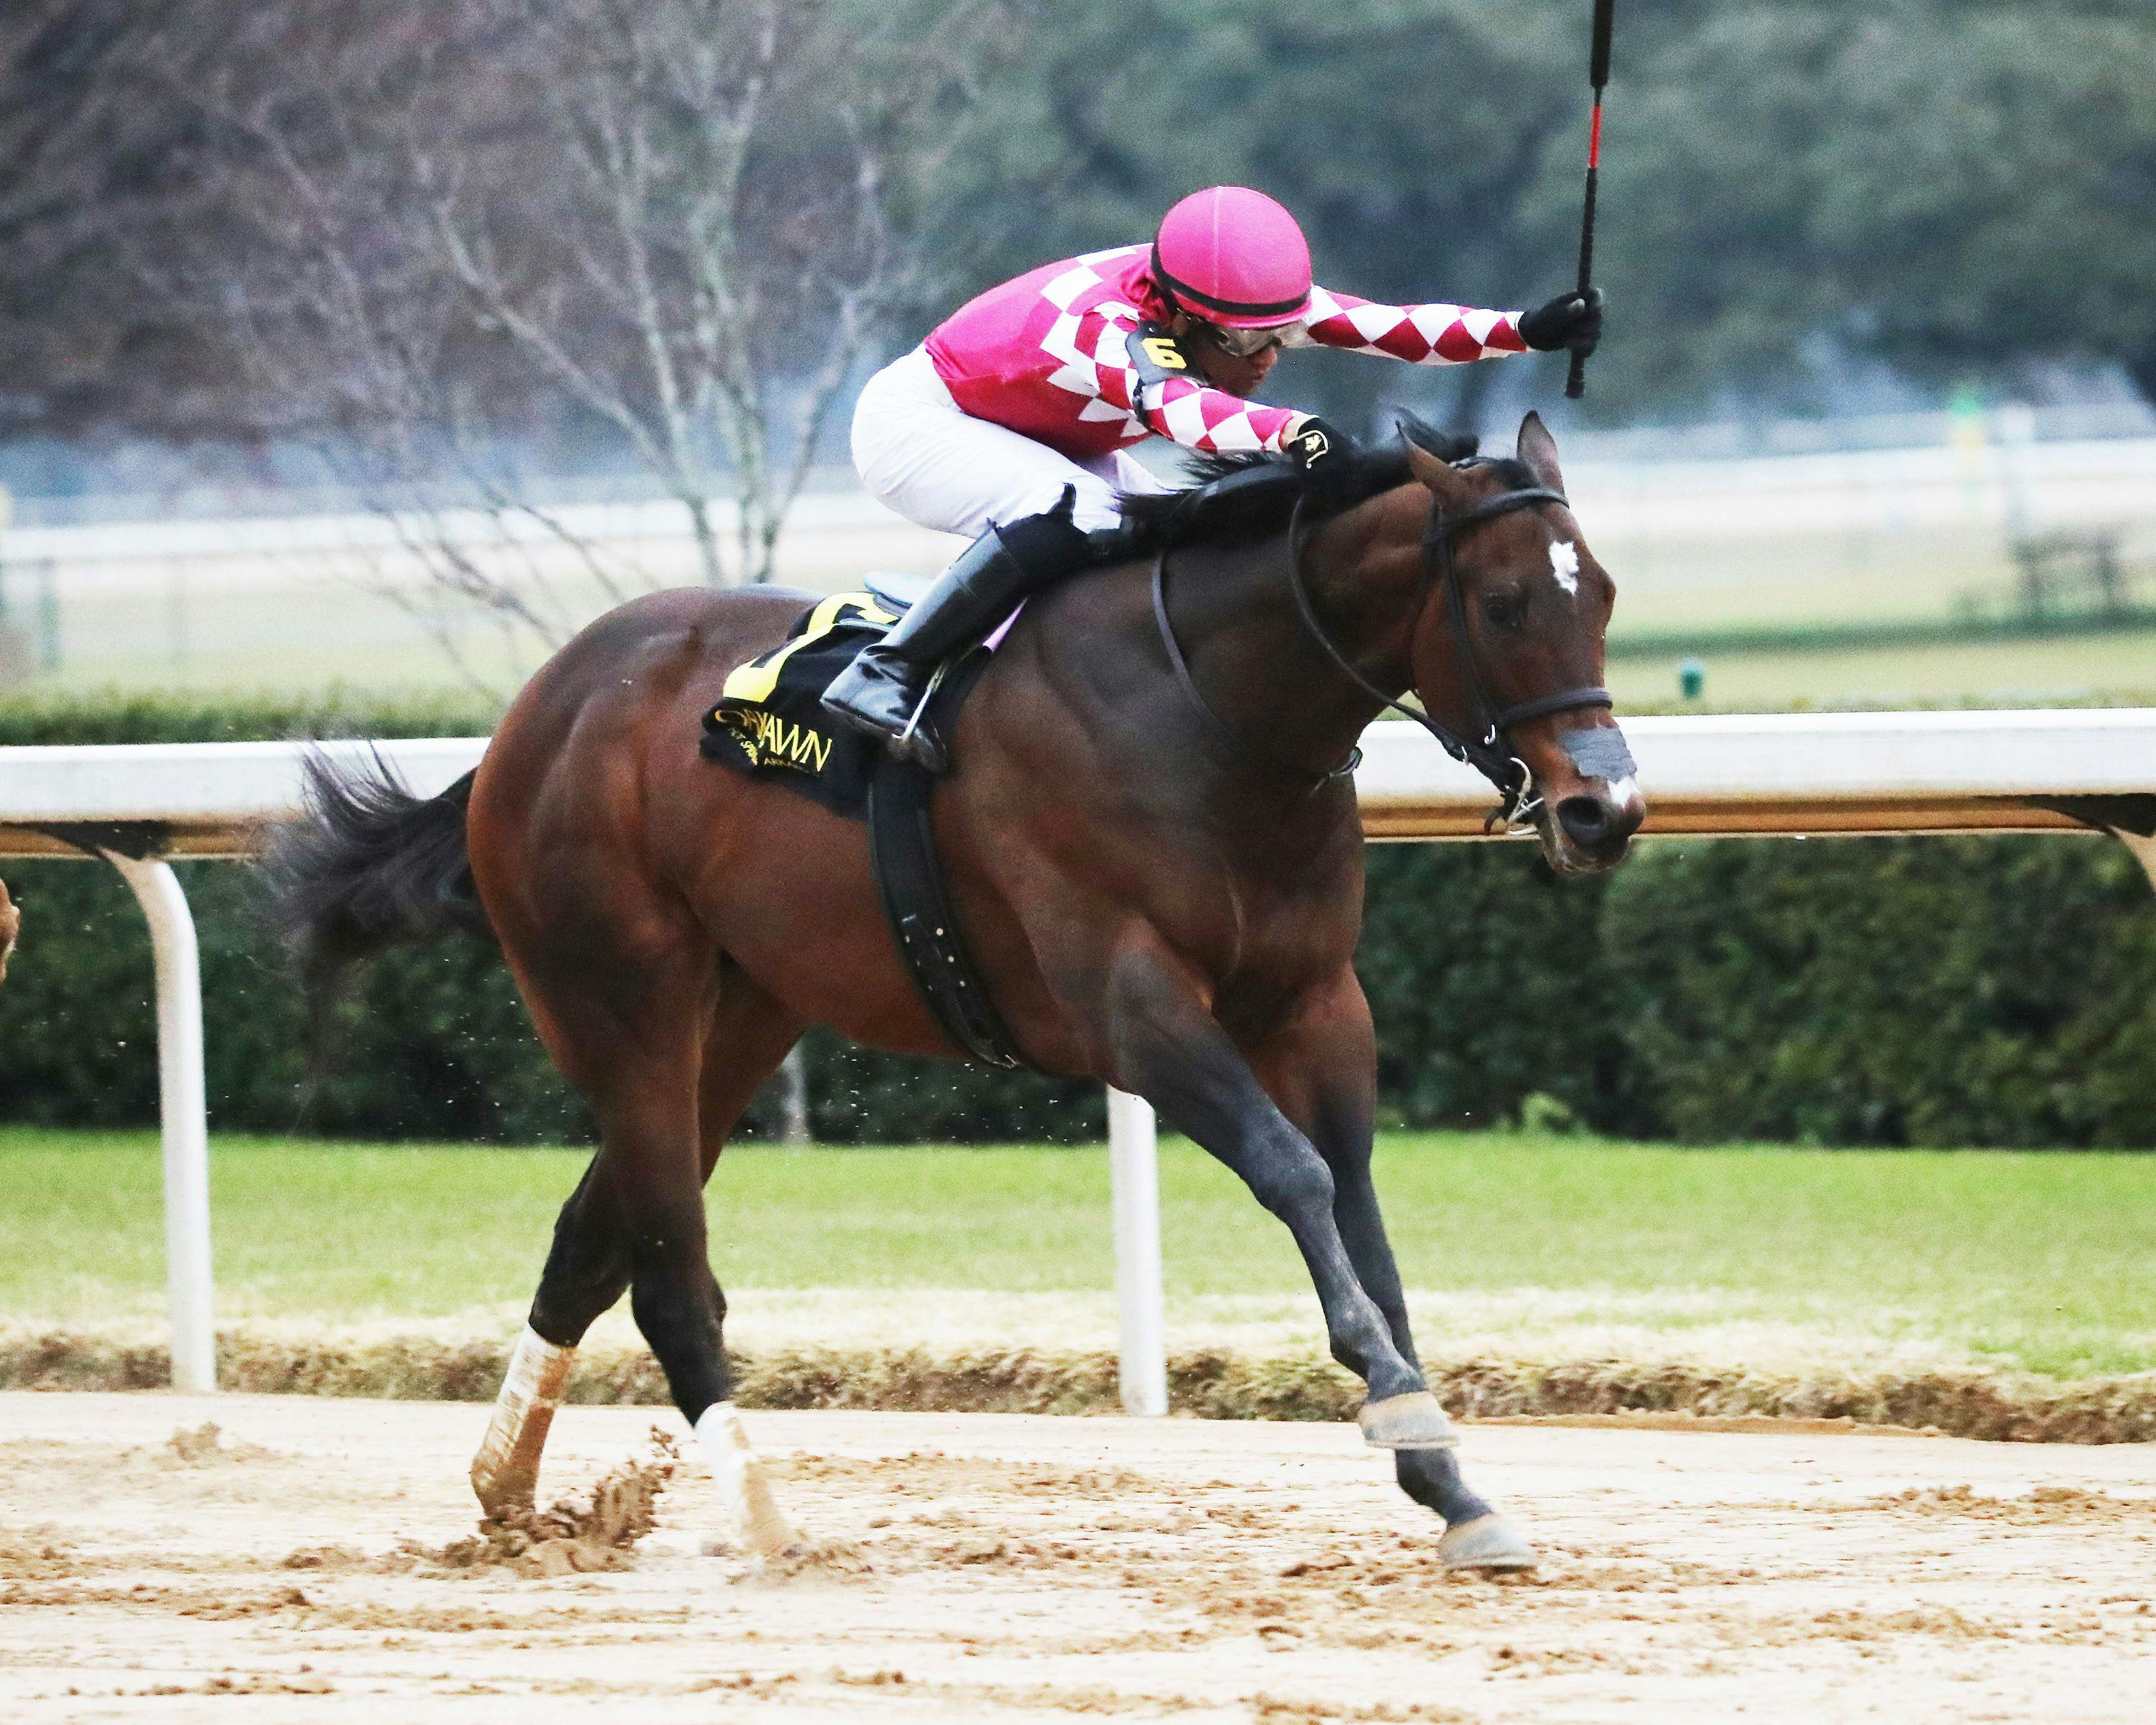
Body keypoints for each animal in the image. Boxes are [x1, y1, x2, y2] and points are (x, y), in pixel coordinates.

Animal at [278, 412, 1639, 1570]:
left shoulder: (1315, 1004)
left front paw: (1451, 1481)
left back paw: (510, 1494)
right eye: (1506, 602)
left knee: (591, 1240)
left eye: (1607, 596)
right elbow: (1295, 1176)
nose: (1605, 811)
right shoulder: (1131, 1008)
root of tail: (532, 715)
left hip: (743, 1011)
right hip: (620, 1000)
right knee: (667, 1272)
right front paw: (1403, 1413)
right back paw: (765, 1519)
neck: (1209, 709)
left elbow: (1360, 1214)